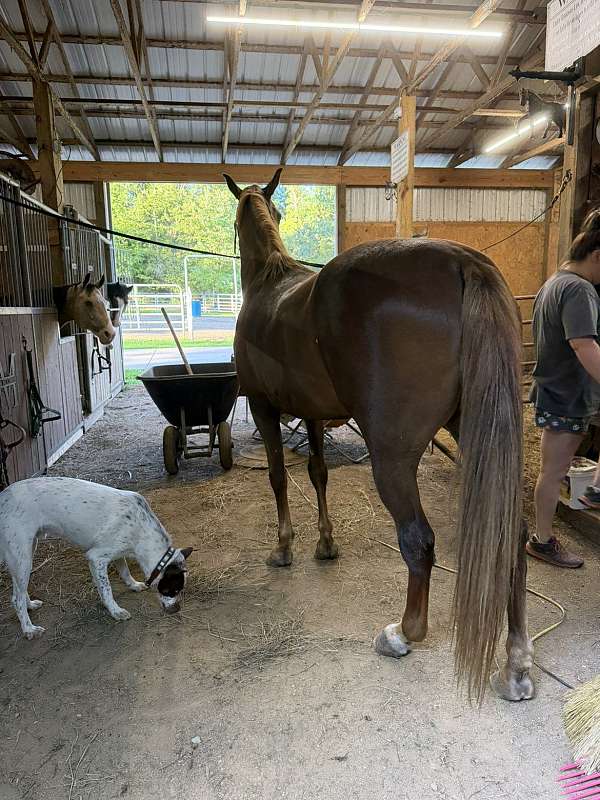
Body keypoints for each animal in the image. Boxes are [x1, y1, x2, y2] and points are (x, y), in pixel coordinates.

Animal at [224, 168, 532, 703]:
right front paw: (325, 544)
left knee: (418, 541)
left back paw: (404, 632)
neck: (270, 285)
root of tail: (464, 262)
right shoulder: (313, 415)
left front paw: (284, 548)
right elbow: (318, 472)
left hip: (391, 457)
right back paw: (515, 664)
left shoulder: (264, 408)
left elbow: (279, 477)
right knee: (509, 539)